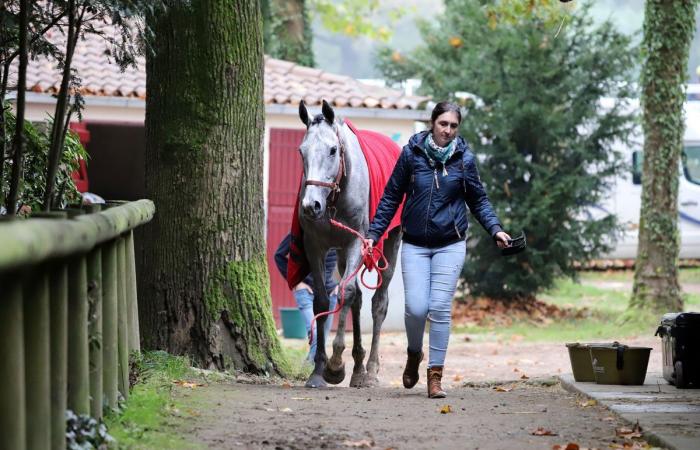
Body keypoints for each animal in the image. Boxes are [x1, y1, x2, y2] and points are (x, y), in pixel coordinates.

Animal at [296, 100, 402, 388]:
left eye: (333, 150)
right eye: (301, 151)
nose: (310, 205)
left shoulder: (357, 242)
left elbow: (346, 291)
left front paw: (335, 364)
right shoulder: (315, 245)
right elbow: (323, 300)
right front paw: (319, 369)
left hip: (391, 243)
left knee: (378, 303)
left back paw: (371, 370)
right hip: (343, 254)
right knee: (357, 298)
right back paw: (357, 368)